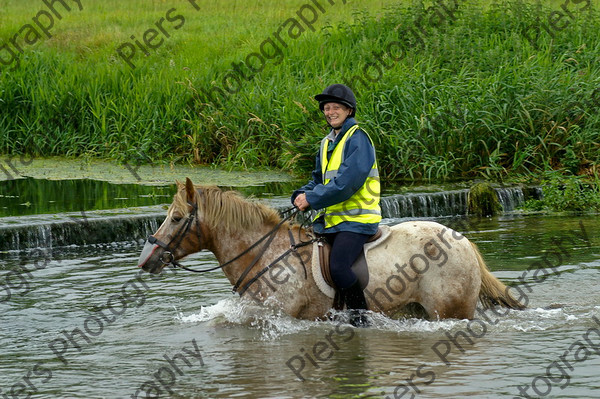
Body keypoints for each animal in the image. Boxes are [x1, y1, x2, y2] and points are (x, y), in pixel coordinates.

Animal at [138, 178, 524, 322]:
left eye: (176, 218)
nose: (147, 260)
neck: (265, 253)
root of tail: (464, 242)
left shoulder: (284, 317)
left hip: (451, 311)